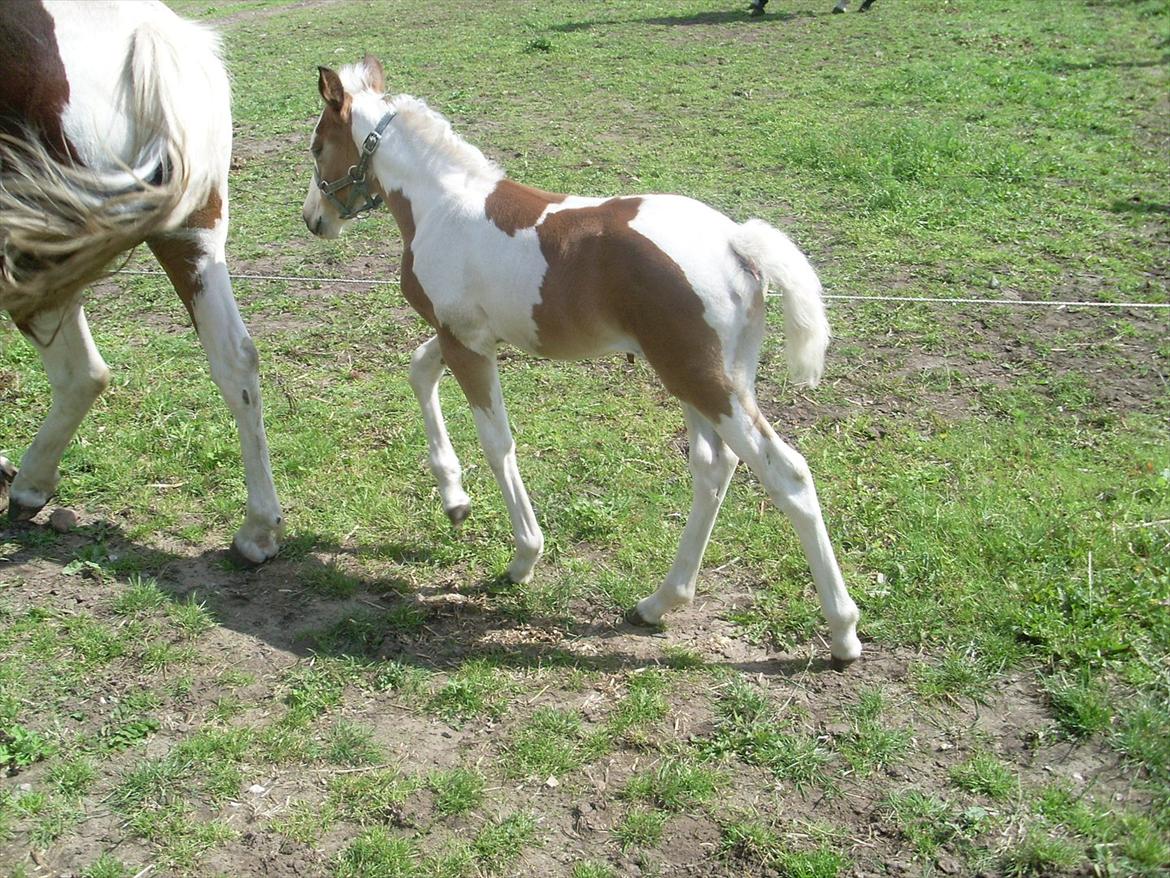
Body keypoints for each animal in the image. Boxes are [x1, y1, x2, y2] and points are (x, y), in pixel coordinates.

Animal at [301, 56, 865, 664]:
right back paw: (659, 603)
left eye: (317, 146)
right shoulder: (466, 336)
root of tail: (738, 241)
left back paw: (843, 632)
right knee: (714, 467)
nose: (313, 219)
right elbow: (418, 369)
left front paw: (523, 557)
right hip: (712, 379)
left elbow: (498, 443)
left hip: (701, 378)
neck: (441, 204)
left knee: (787, 474)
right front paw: (454, 499)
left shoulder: (465, 343)